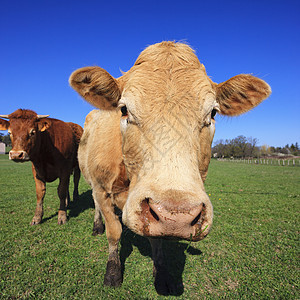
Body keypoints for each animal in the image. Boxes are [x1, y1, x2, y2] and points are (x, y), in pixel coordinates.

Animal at [69, 41, 270, 292]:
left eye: (213, 112)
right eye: (124, 109)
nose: (177, 216)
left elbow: (157, 241)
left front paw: (162, 275)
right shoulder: (102, 189)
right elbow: (114, 232)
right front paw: (113, 273)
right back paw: (97, 226)